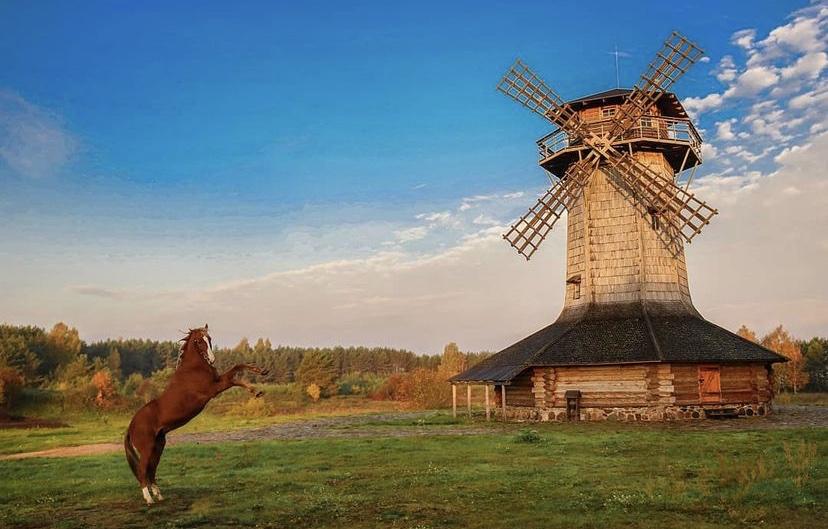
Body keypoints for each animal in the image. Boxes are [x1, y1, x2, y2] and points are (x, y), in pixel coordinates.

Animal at [124, 324, 267, 505]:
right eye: (199, 341)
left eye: (209, 339)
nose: (212, 360)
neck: (193, 369)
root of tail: (131, 426)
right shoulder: (214, 388)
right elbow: (235, 378)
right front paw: (255, 390)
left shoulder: (218, 381)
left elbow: (237, 367)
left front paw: (260, 374)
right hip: (147, 448)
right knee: (143, 471)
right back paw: (149, 500)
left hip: (158, 446)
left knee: (151, 471)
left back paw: (159, 496)